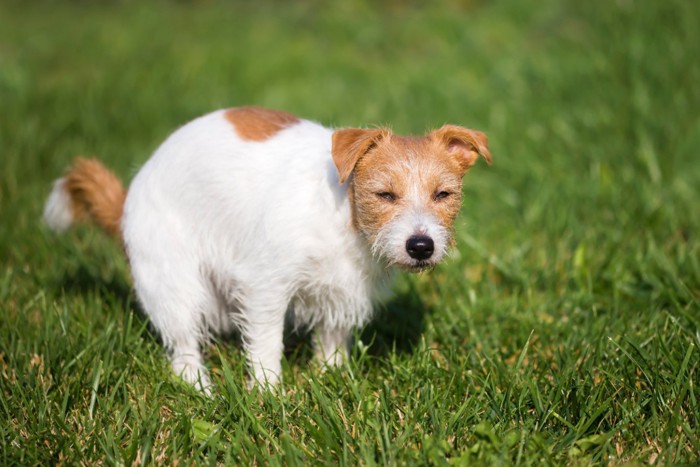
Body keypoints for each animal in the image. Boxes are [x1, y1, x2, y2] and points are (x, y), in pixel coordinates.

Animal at [43, 108, 492, 394]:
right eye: (384, 194)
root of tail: (125, 204)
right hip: (172, 282)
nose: (421, 246)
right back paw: (198, 385)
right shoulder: (266, 286)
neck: (344, 217)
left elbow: (331, 341)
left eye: (443, 194)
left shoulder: (343, 293)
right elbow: (265, 343)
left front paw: (331, 379)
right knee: (182, 344)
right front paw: (267, 393)